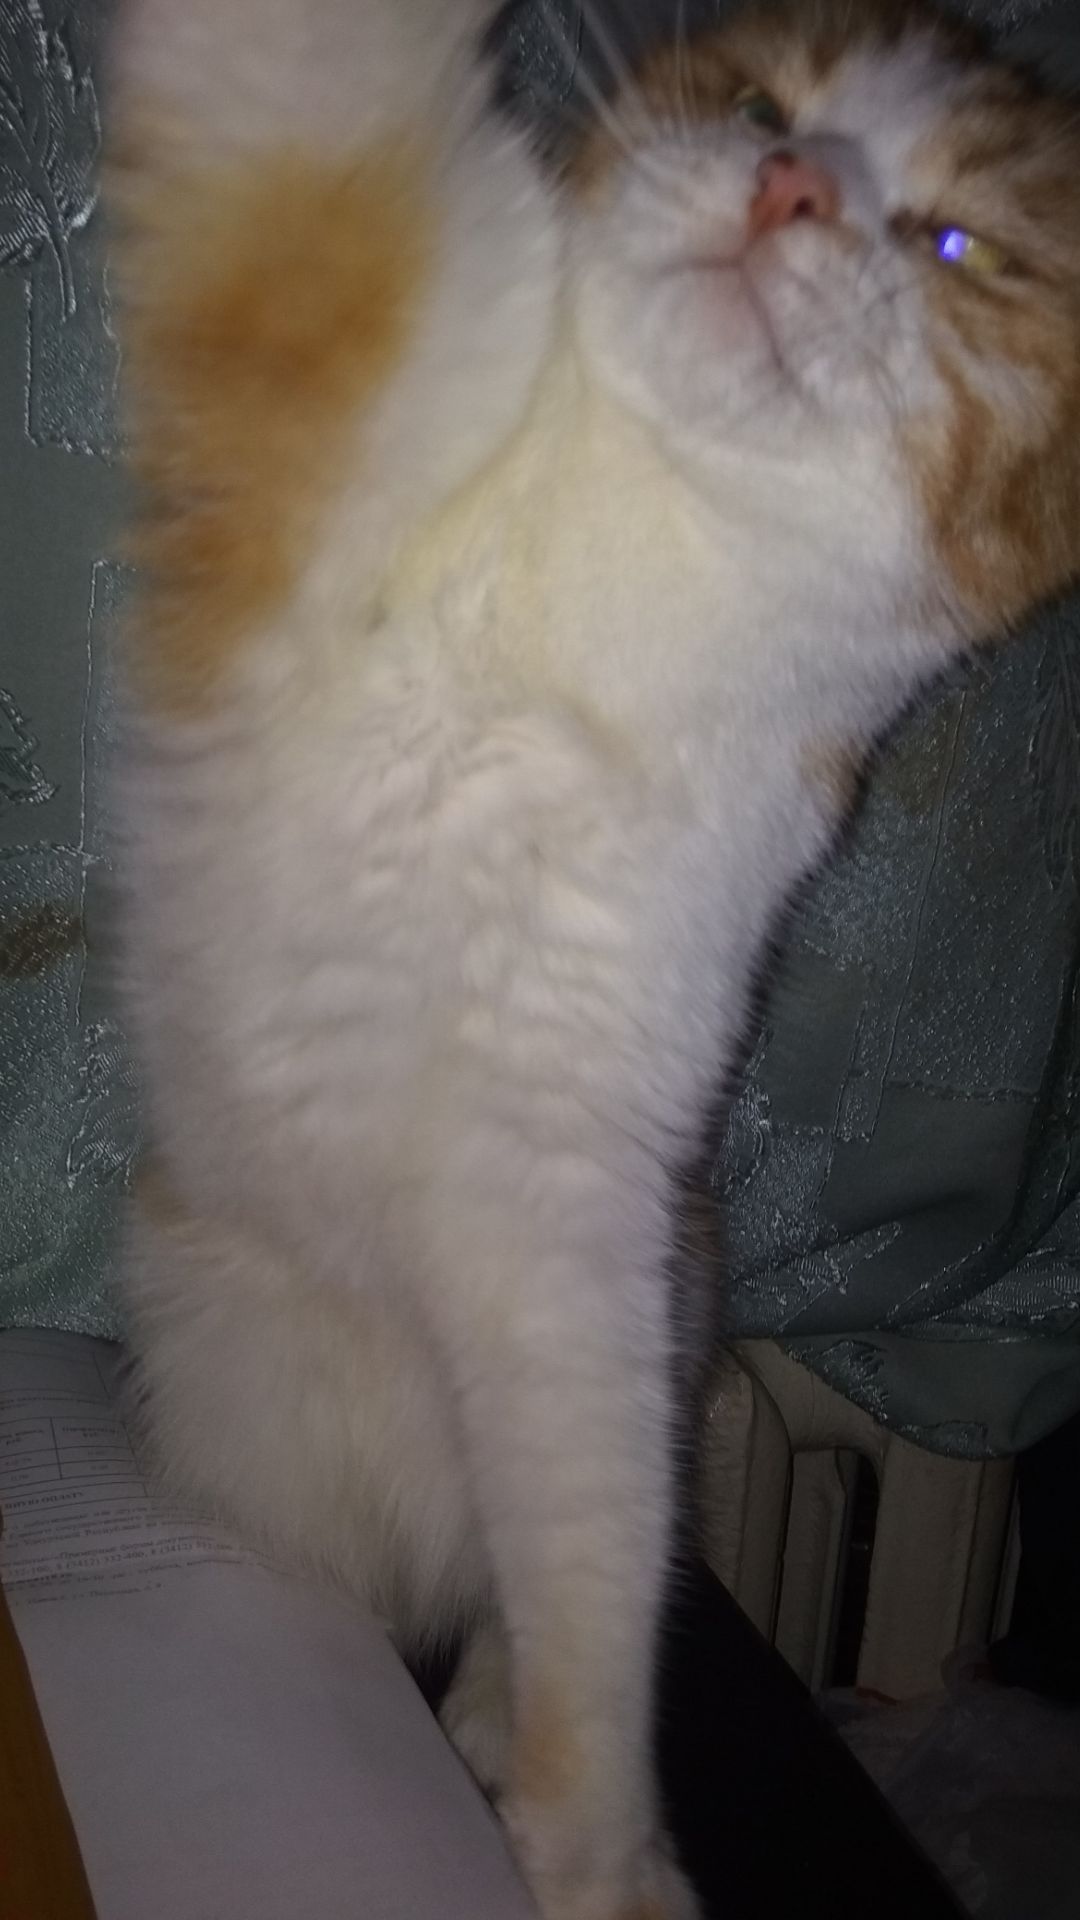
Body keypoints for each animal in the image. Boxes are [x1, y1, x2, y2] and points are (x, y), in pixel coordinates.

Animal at [105, 2, 1080, 1916]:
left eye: (961, 248)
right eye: (767, 105)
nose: (791, 188)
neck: (628, 561)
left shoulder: (569, 1204)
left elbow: (588, 1563)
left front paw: (588, 1847)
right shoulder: (316, 348)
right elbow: (298, 74)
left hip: (668, 1297)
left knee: (522, 1558)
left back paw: (477, 1696)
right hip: (231, 1376)